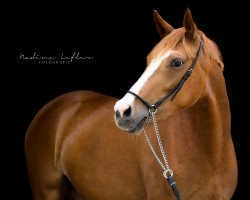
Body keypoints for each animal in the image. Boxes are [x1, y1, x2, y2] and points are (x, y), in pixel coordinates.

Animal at [25, 8, 238, 199]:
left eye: (176, 62)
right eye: (149, 59)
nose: (122, 111)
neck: (210, 154)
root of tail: (53, 106)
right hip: (46, 191)